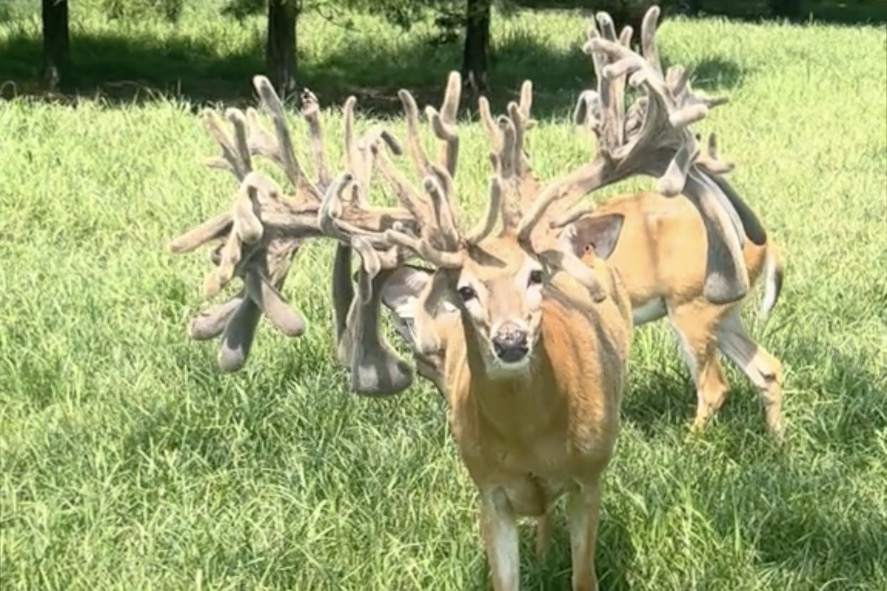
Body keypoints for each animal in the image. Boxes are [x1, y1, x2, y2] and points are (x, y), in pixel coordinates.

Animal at [376, 5, 786, 442]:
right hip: (722, 313)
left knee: (715, 385)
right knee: (767, 369)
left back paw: (692, 443)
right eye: (423, 363)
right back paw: (777, 442)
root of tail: (767, 244)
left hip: (692, 303)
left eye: (534, 277)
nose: (508, 343)